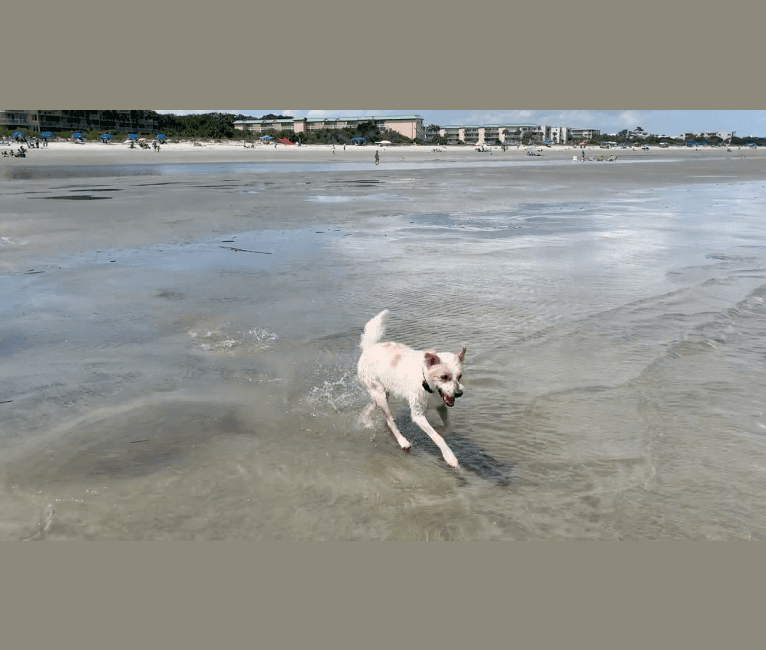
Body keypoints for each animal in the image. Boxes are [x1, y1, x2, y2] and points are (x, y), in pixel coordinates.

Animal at [360, 308, 468, 466]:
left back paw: (365, 418)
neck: (427, 384)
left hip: (383, 393)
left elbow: (447, 428)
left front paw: (435, 437)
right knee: (389, 420)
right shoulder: (418, 415)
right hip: (380, 394)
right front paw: (449, 456)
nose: (459, 393)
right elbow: (438, 437)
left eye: (459, 376)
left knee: (374, 408)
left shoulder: (441, 406)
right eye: (444, 377)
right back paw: (402, 441)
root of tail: (369, 348)